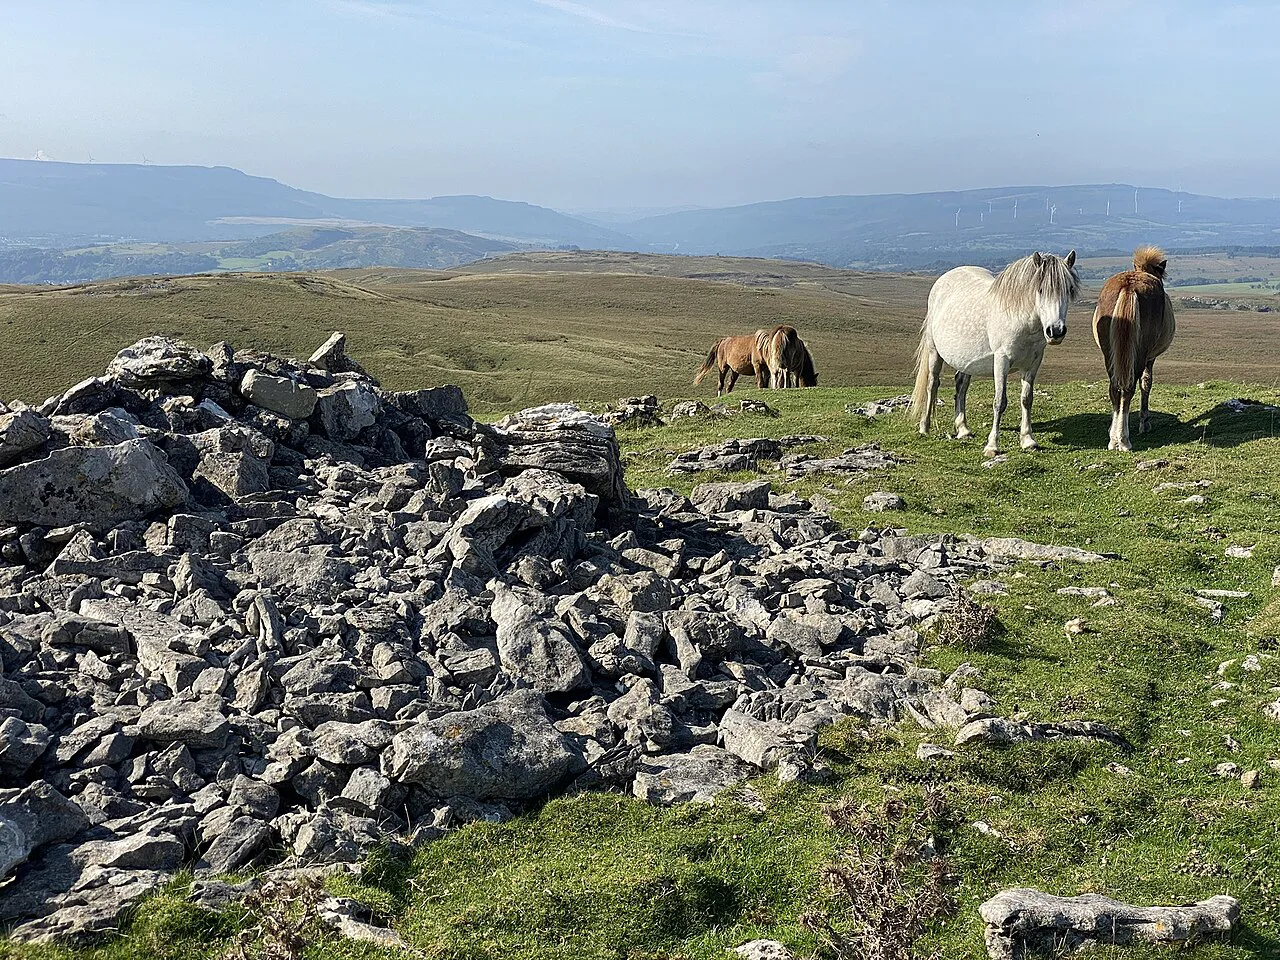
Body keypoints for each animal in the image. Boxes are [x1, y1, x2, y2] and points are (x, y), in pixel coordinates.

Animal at [910, 250, 1080, 456]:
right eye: (1040, 290)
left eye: (1069, 289)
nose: (1056, 331)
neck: (1020, 318)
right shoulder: (1001, 361)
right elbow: (1000, 402)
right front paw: (992, 446)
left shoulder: (1033, 362)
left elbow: (1027, 399)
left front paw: (1028, 440)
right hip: (935, 352)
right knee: (932, 384)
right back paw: (924, 427)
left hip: (966, 360)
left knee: (961, 385)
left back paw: (963, 429)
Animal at [1092, 245, 1176, 451]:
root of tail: (1129, 287)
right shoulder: (1150, 358)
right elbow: (1146, 383)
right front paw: (1145, 423)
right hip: (1139, 354)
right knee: (1128, 388)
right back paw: (1123, 440)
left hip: (1110, 354)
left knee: (1115, 388)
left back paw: (1113, 439)